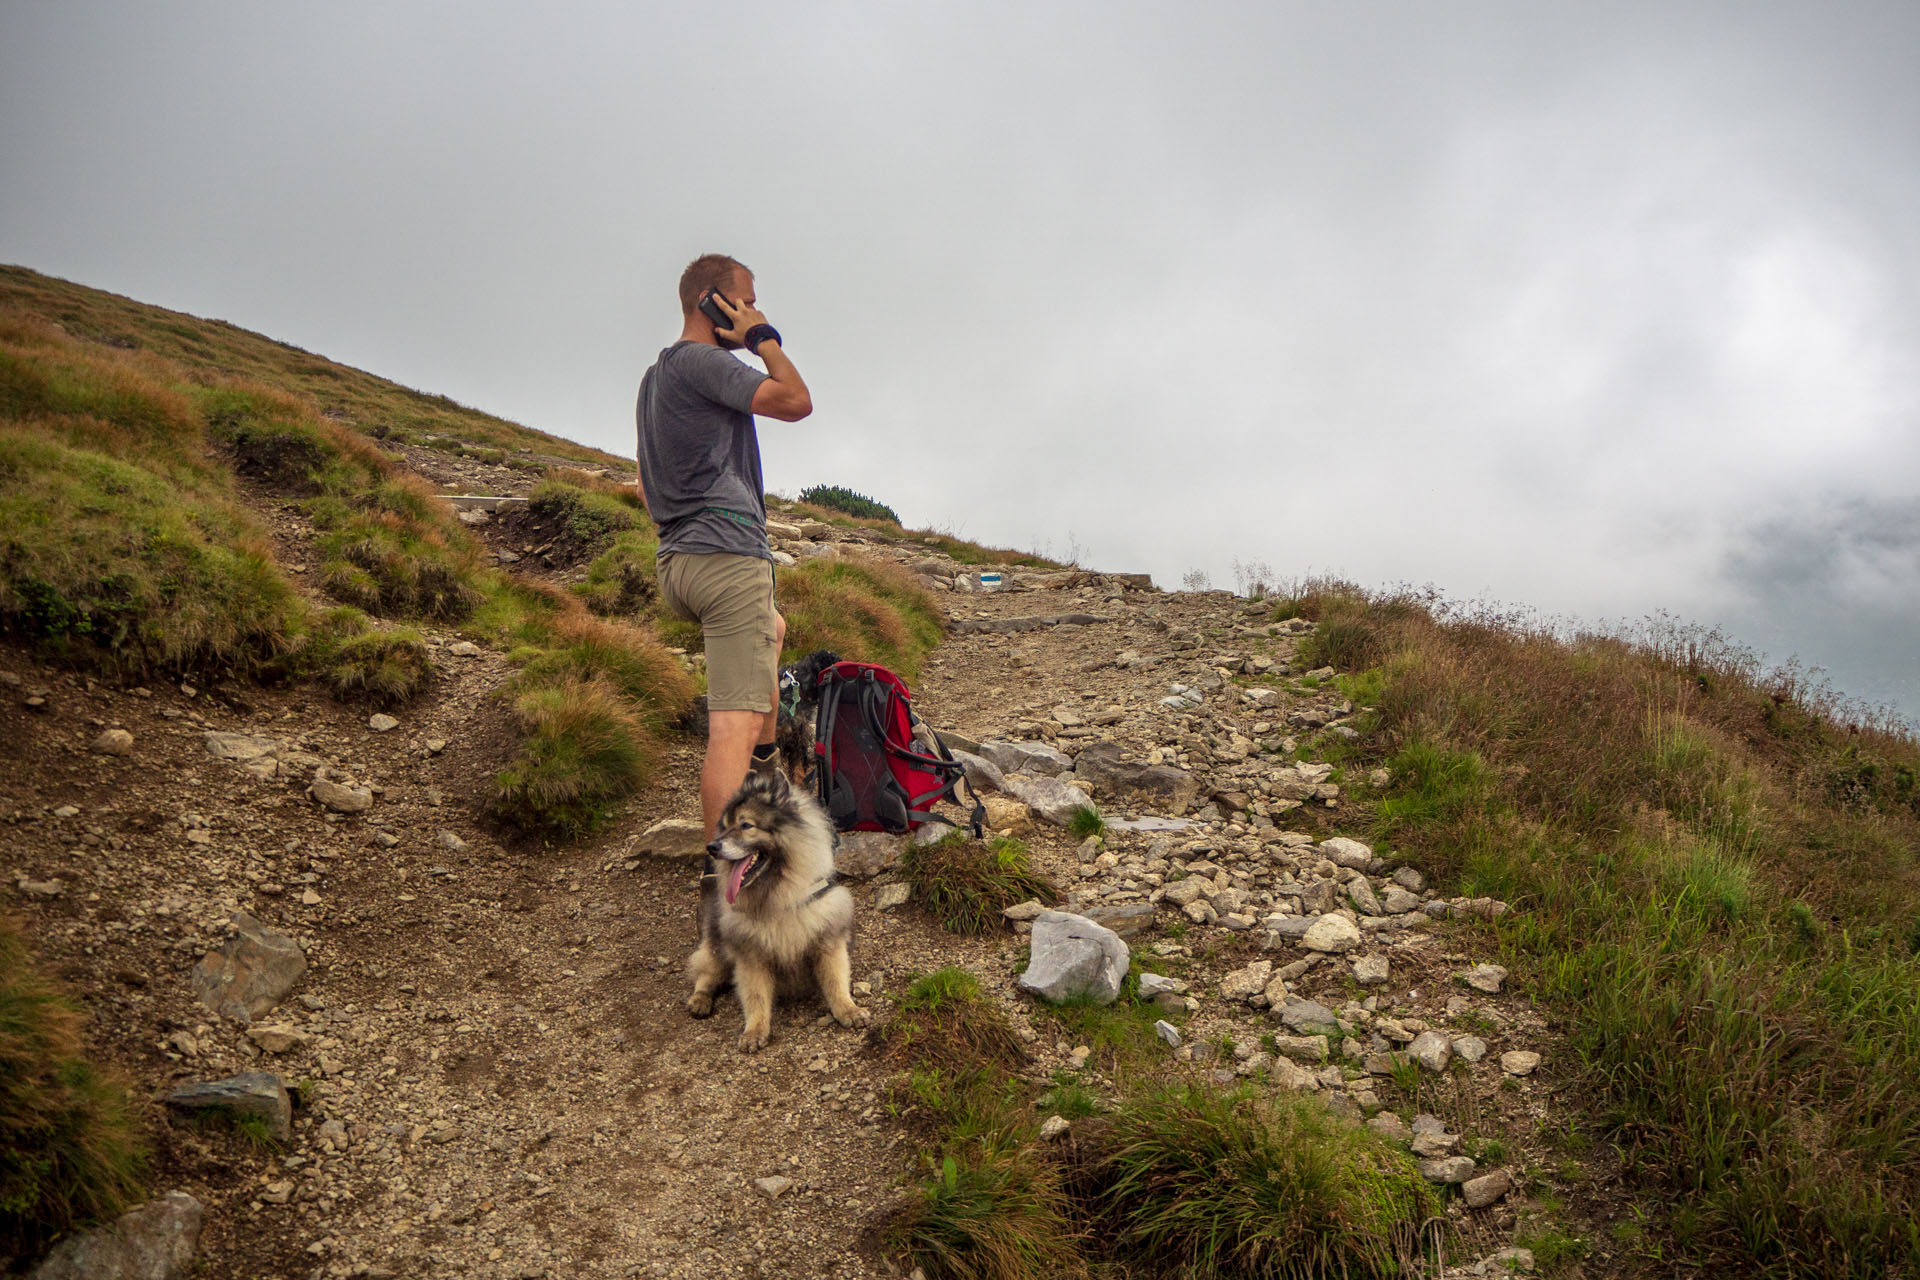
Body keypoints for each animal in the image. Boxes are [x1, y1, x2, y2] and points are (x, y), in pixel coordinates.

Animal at [683, 771, 871, 1051]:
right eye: (724, 826)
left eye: (746, 825)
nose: (712, 847)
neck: (778, 896)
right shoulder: (750, 955)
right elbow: (756, 996)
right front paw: (754, 1032)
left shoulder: (828, 942)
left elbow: (836, 982)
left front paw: (850, 1011)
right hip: (717, 948)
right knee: (706, 973)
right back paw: (700, 1000)